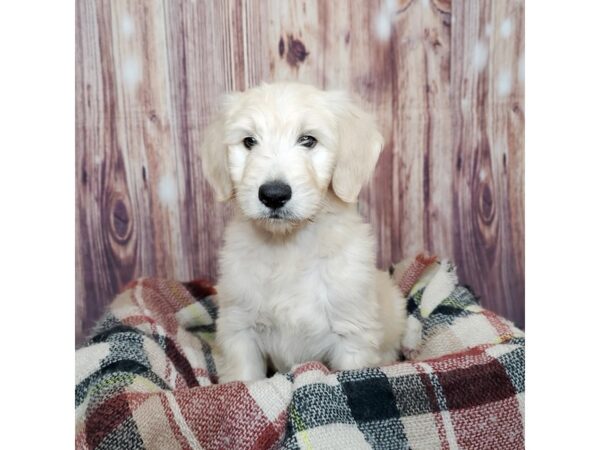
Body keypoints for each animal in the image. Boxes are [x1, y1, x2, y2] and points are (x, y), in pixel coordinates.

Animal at [199, 82, 406, 382]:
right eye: (249, 141)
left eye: (308, 140)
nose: (273, 195)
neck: (288, 246)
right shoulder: (239, 328)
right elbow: (244, 379)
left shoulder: (352, 336)